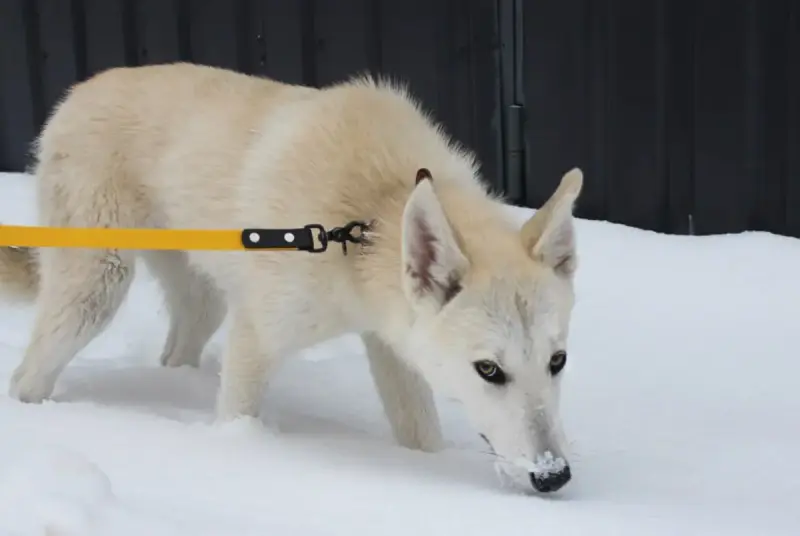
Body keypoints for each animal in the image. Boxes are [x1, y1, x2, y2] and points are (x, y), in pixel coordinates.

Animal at [0, 60, 580, 492]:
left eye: (558, 362)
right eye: (489, 370)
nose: (554, 477)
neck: (370, 213)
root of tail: (76, 93)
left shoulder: (391, 347)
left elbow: (420, 434)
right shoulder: (257, 337)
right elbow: (237, 420)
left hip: (202, 306)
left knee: (174, 352)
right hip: (94, 292)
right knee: (26, 376)